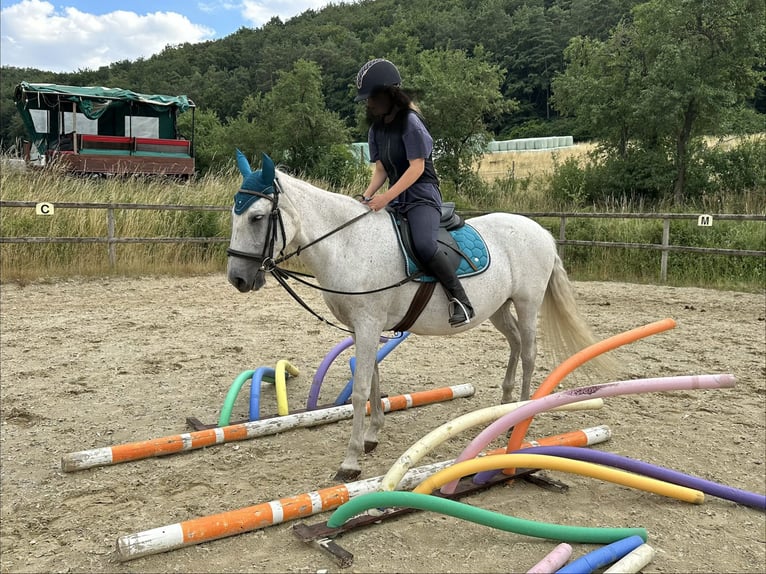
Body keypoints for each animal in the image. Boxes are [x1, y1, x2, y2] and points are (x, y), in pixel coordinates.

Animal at [227, 152, 612, 482]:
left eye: (257, 217)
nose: (238, 279)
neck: (349, 245)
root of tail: (540, 231)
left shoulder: (368, 325)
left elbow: (360, 390)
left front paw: (350, 462)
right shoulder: (362, 328)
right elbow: (374, 382)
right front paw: (372, 437)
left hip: (527, 302)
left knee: (530, 352)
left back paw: (520, 416)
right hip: (498, 307)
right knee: (515, 343)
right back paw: (505, 408)